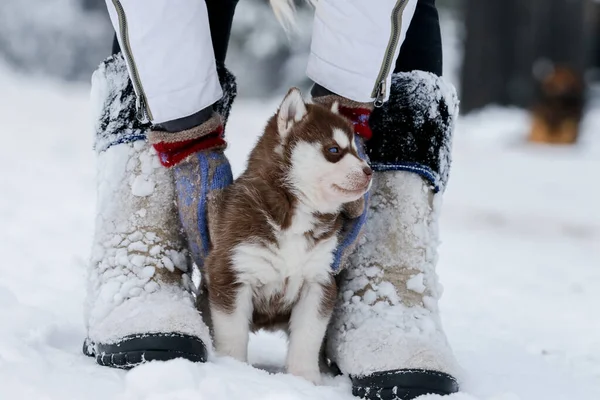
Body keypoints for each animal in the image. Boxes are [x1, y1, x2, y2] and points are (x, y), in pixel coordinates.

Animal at [202, 88, 370, 384]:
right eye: (334, 150)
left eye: (355, 149)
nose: (369, 171)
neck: (296, 211)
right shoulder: (231, 272)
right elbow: (232, 334)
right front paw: (234, 369)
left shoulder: (319, 280)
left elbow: (308, 336)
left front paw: (306, 379)